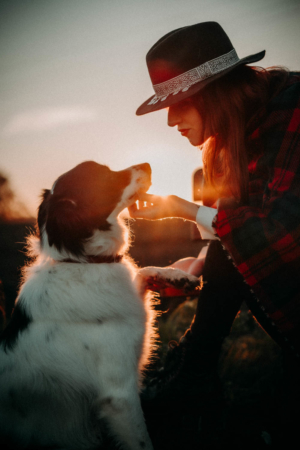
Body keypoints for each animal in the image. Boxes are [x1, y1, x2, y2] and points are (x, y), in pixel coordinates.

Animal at [0, 163, 202, 450]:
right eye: (104, 175)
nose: (147, 165)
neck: (83, 262)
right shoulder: (120, 394)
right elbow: (142, 441)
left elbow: (142, 272)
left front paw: (178, 277)